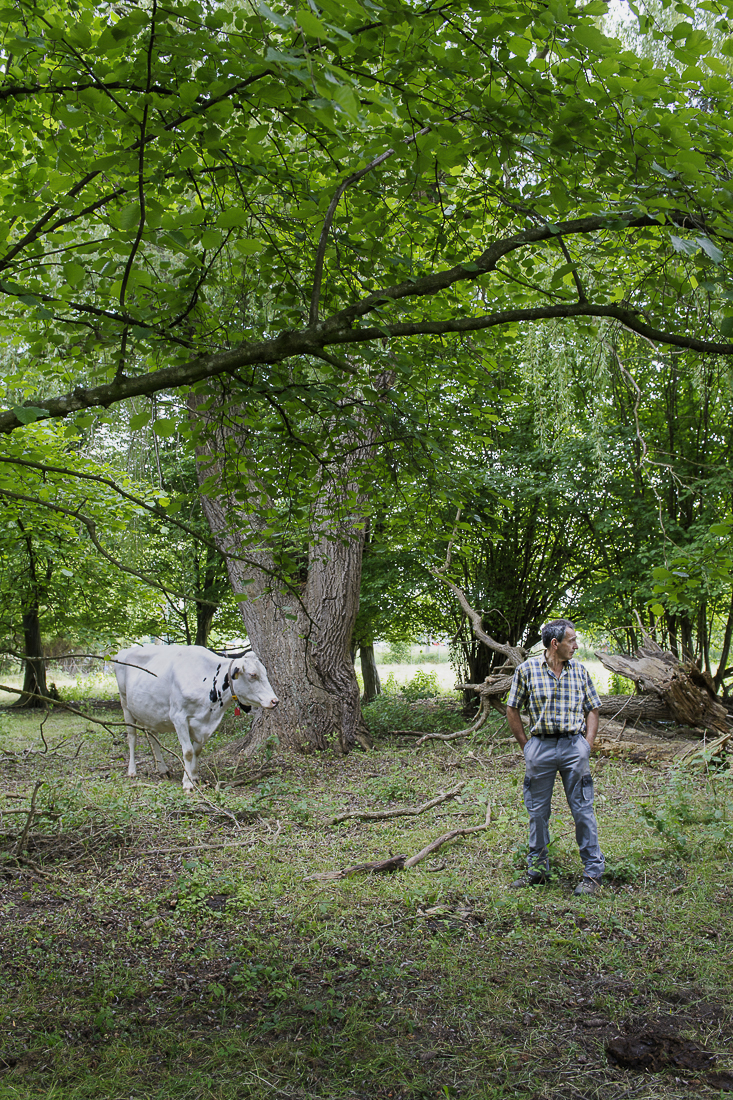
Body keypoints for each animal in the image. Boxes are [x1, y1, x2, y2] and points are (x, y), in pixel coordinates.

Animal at [112, 642, 278, 792]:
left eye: (265, 673)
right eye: (253, 675)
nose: (274, 701)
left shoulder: (205, 723)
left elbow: (197, 750)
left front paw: (194, 776)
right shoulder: (178, 717)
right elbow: (188, 751)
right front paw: (187, 782)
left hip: (151, 712)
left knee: (153, 738)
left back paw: (162, 768)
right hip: (125, 703)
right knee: (132, 737)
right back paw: (132, 770)